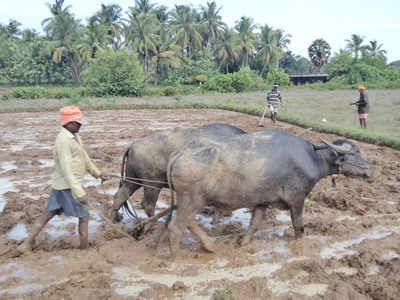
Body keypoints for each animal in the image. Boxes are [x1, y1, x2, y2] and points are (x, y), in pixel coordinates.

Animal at [111, 123, 245, 221]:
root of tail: (133, 145)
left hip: (133, 179)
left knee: (120, 196)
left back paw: (114, 219)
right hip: (152, 183)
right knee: (147, 205)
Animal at [165, 129, 372, 255]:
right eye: (355, 154)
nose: (370, 171)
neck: (313, 158)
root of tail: (179, 154)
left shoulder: (261, 202)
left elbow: (255, 224)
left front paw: (243, 242)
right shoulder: (297, 200)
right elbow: (299, 226)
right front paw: (301, 244)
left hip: (191, 201)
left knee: (186, 222)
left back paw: (209, 245)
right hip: (192, 200)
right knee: (176, 227)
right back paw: (177, 254)